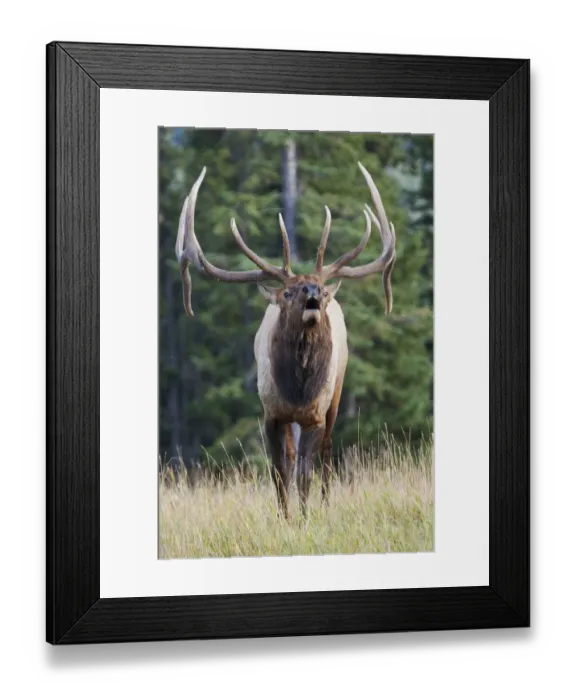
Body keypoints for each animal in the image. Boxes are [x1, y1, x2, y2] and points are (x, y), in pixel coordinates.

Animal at [175, 162, 396, 518]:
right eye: (289, 292)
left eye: (322, 291)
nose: (313, 293)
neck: (298, 391)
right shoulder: (272, 412)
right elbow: (279, 470)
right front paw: (284, 517)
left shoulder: (315, 413)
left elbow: (306, 471)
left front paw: (305, 517)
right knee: (292, 460)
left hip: (337, 395)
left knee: (327, 454)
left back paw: (325, 502)